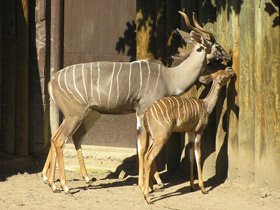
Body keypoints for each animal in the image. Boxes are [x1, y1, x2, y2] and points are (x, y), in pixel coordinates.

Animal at [41, 11, 230, 192]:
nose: (228, 58)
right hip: (75, 114)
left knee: (61, 136)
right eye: (217, 46)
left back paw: (57, 181)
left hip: (84, 114)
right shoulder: (142, 110)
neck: (170, 77)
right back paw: (63, 186)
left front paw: (154, 182)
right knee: (60, 140)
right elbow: (143, 145)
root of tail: (52, 82)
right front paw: (145, 184)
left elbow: (145, 145)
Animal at [143, 67, 235, 203]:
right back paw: (148, 198)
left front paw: (192, 186)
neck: (206, 105)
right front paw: (203, 189)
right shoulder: (198, 131)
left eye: (221, 71)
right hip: (161, 137)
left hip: (152, 138)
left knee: (145, 156)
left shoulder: (190, 132)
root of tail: (147, 113)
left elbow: (191, 156)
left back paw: (147, 192)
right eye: (224, 75)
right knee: (150, 157)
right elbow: (198, 156)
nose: (230, 69)